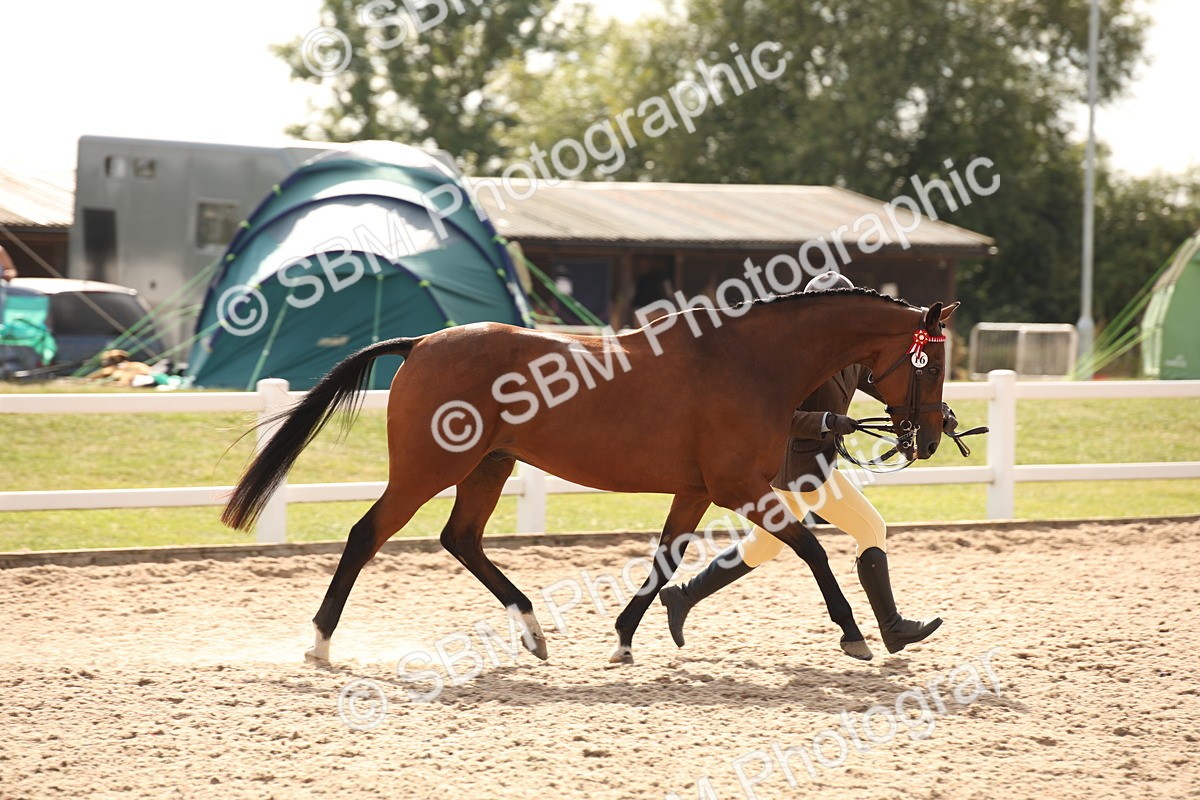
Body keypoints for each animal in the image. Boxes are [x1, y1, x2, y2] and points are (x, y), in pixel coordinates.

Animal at [221, 287, 958, 665]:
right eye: (929, 364)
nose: (928, 436)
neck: (752, 361)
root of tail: (423, 342)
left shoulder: (697, 491)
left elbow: (666, 560)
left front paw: (627, 637)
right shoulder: (737, 488)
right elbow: (810, 550)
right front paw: (856, 635)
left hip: (488, 467)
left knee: (461, 540)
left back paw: (532, 632)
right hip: (430, 469)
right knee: (365, 536)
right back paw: (320, 643)